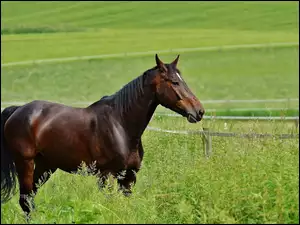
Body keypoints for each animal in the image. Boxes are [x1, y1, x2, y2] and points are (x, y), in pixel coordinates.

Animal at [0, 53, 204, 217]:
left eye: (183, 80)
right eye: (174, 82)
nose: (199, 111)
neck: (121, 125)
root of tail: (17, 110)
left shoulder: (129, 177)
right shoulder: (105, 176)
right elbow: (109, 205)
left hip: (46, 166)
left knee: (30, 199)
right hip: (25, 163)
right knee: (25, 200)